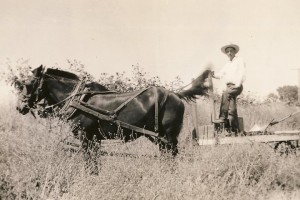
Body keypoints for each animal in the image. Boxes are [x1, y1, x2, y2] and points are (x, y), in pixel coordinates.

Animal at [15, 65, 209, 170]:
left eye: (28, 84)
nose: (19, 107)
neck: (78, 99)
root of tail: (176, 94)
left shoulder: (86, 137)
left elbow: (89, 162)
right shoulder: (94, 139)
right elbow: (94, 162)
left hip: (169, 136)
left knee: (172, 155)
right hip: (159, 138)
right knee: (166, 156)